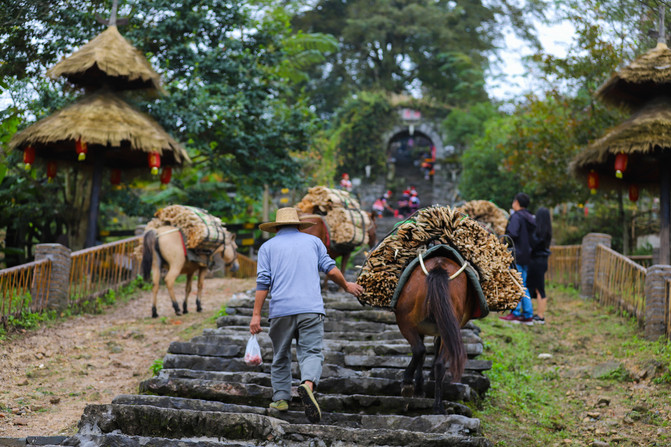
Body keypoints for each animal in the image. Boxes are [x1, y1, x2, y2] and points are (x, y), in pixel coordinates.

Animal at [394, 254, 478, 414]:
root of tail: (439, 267)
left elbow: (423, 354)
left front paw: (418, 388)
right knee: (440, 363)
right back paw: (438, 406)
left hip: (405, 321)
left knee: (419, 350)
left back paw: (407, 383)